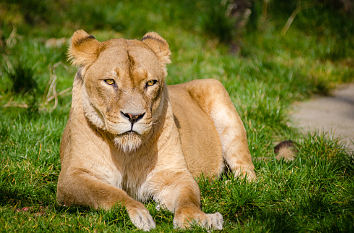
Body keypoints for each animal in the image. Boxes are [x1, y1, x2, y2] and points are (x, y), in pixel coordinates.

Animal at [57, 29, 258, 231]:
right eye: (110, 81)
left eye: (151, 83)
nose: (133, 116)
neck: (125, 153)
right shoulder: (71, 177)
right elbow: (108, 193)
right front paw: (139, 214)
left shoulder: (173, 173)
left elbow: (188, 199)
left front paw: (198, 219)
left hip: (218, 94)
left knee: (248, 173)